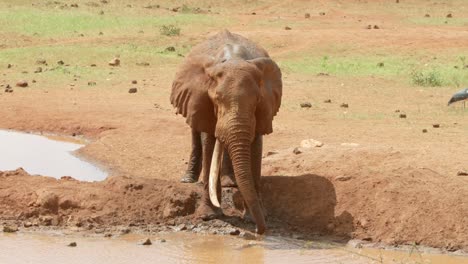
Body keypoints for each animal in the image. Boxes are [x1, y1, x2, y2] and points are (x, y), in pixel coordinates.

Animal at [171, 29, 284, 234]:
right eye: (216, 100)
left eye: (257, 101)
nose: (260, 231)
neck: (233, 59)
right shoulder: (203, 101)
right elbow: (209, 143)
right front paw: (209, 215)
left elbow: (256, 147)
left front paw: (253, 217)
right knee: (195, 131)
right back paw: (188, 179)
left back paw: (229, 182)